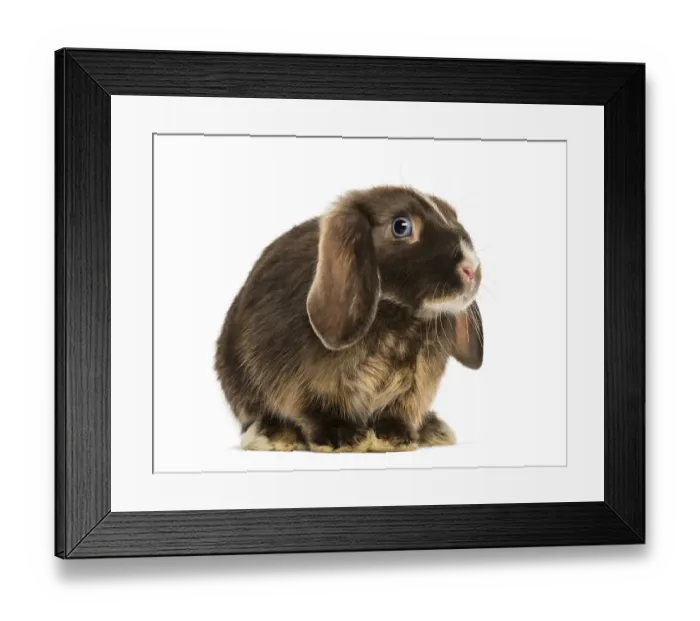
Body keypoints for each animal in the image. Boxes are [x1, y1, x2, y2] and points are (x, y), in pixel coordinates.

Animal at [214, 185, 483, 453]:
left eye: (453, 217)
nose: (471, 269)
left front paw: (395, 437)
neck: (398, 322)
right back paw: (273, 435)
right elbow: (316, 411)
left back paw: (433, 429)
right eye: (401, 226)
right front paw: (343, 438)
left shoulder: (414, 386)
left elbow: (397, 412)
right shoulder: (303, 383)